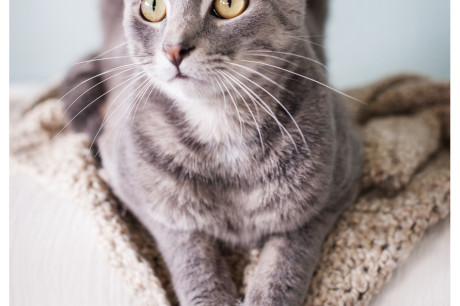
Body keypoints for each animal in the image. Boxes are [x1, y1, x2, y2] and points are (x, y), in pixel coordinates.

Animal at [61, 0, 362, 304]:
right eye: (153, 7)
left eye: (229, 5)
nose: (173, 49)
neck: (220, 128)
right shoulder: (153, 208)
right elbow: (193, 262)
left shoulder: (332, 196)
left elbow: (285, 264)